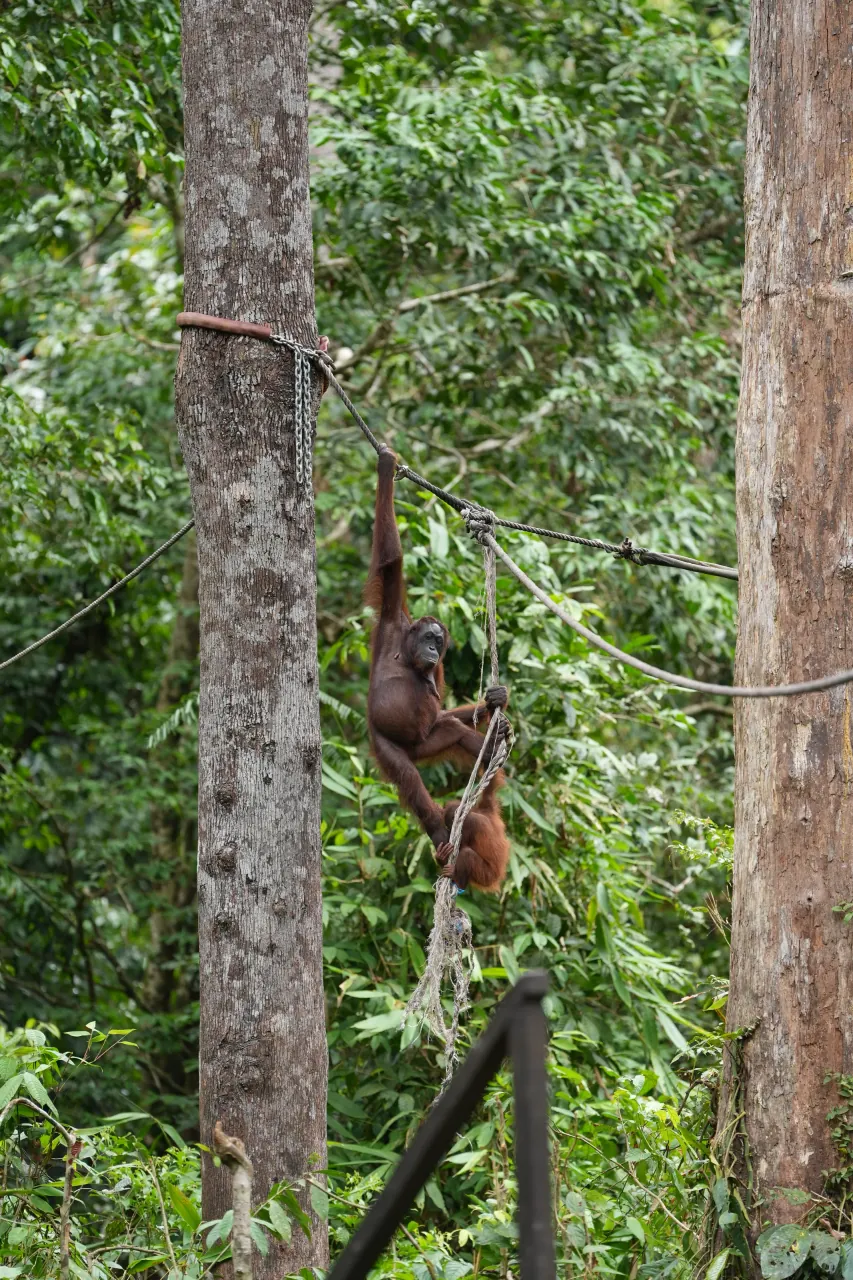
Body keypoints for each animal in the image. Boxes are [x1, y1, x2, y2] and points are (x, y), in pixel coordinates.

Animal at [366, 445, 509, 858]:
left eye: (439, 643)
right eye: (430, 637)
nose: (433, 650)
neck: (406, 648)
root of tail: (413, 746)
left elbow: (442, 706)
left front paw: (496, 699)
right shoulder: (392, 617)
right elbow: (391, 562)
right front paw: (386, 466)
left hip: (426, 740)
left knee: (451, 729)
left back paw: (491, 750)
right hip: (388, 743)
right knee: (408, 775)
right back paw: (439, 833)